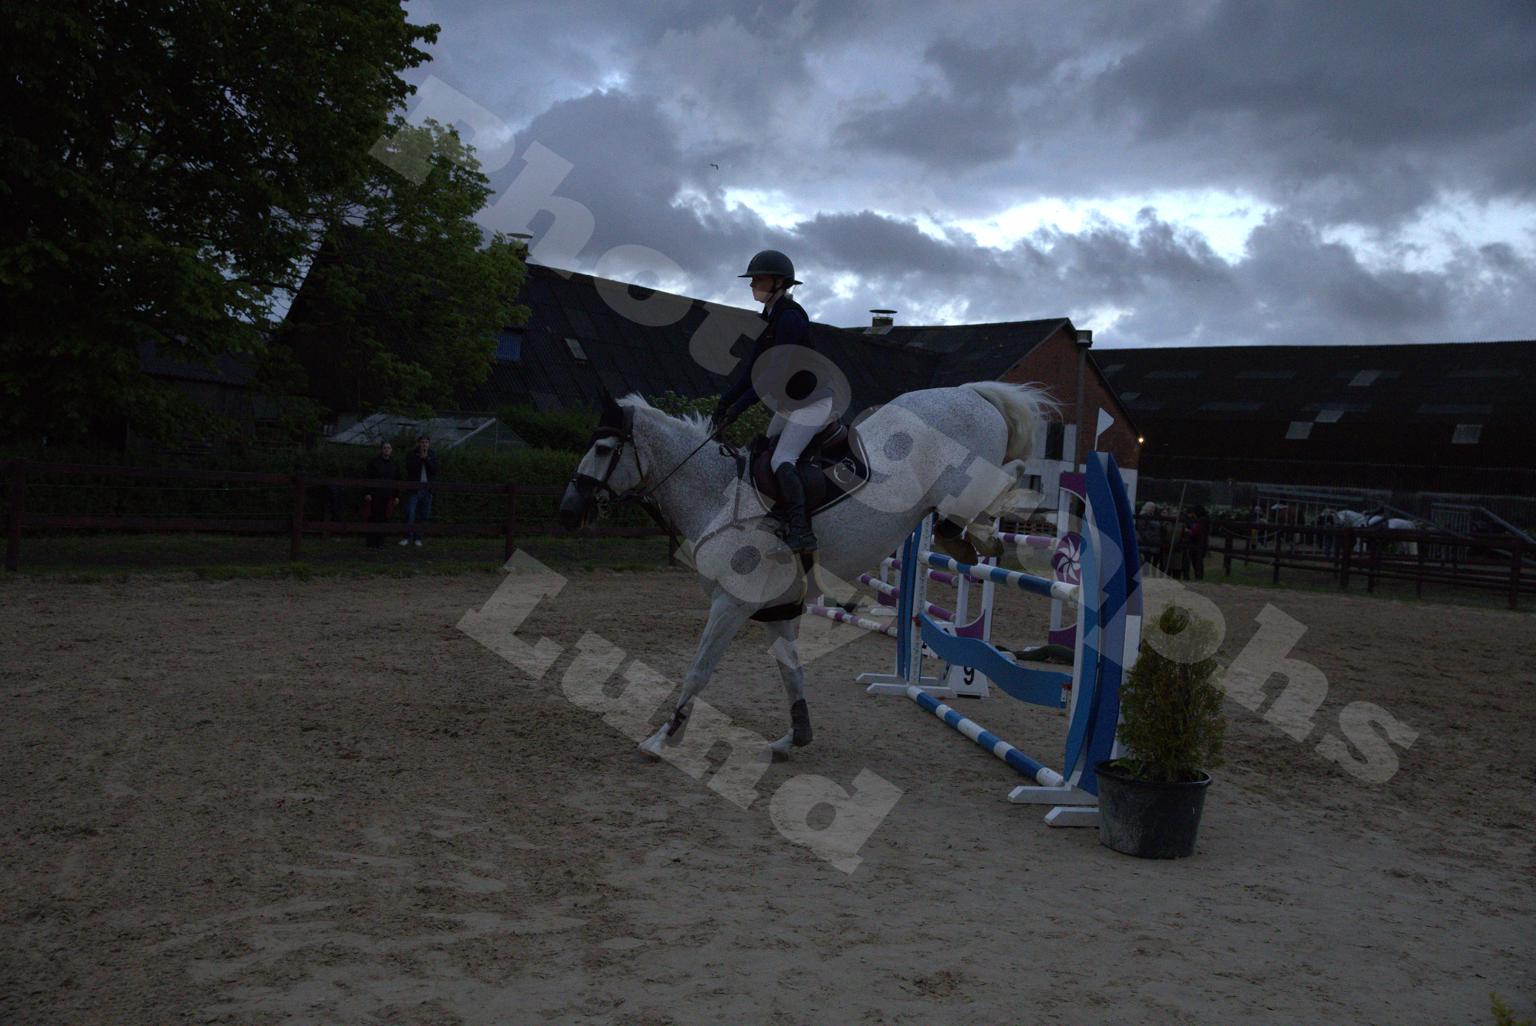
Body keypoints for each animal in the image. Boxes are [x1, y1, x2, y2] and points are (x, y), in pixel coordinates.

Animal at [558, 381, 1051, 760]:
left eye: (602, 448)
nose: (569, 511)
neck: (717, 495)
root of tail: (969, 392)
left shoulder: (730, 603)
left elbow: (698, 671)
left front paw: (664, 738)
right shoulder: (772, 608)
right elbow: (790, 671)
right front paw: (794, 736)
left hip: (969, 482)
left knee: (1012, 473)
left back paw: (994, 525)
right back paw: (970, 540)